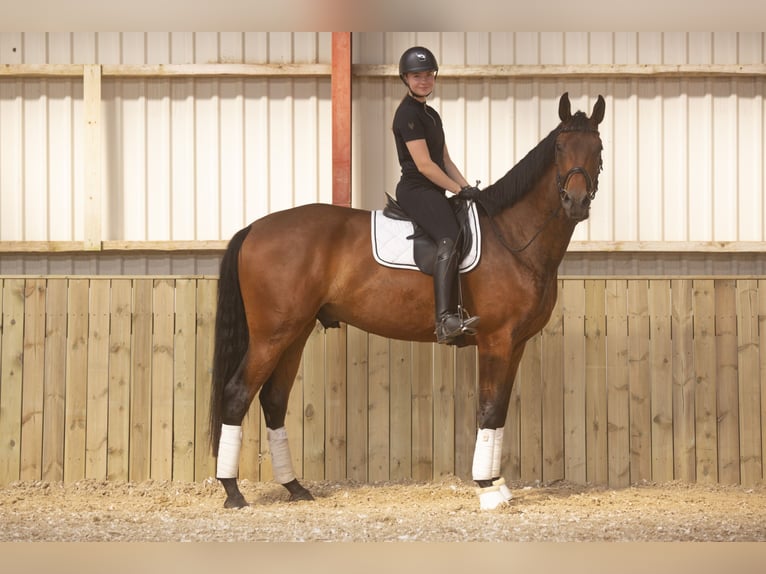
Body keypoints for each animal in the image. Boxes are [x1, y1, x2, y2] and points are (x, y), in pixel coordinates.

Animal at [208, 92, 608, 510]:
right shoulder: (496, 341)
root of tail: (255, 227)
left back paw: (295, 487)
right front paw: (486, 487)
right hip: (271, 335)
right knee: (237, 395)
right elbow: (488, 407)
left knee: (273, 400)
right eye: (560, 147)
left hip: (295, 333)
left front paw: (497, 484)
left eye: (597, 148)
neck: (512, 235)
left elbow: (497, 413)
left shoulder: (515, 344)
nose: (576, 202)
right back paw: (233, 491)